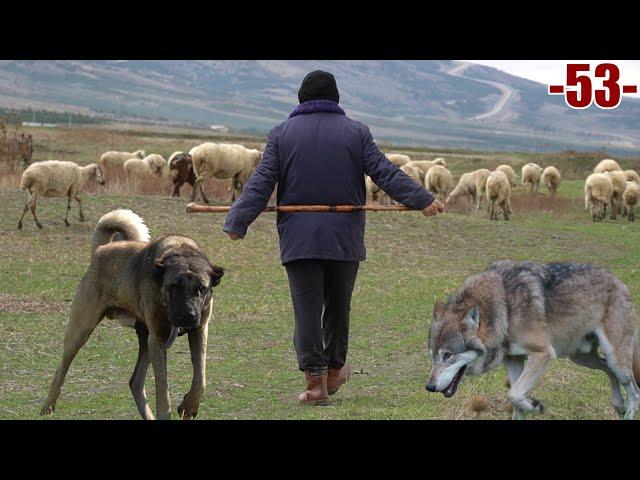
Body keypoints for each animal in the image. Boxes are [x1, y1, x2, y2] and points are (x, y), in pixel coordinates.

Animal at [40, 210, 225, 420]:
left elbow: (200, 378)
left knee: (135, 381)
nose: (187, 315)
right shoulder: (158, 340)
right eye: (173, 286)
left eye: (201, 288)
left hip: (145, 339)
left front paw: (189, 405)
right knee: (61, 370)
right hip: (80, 331)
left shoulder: (199, 331)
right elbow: (163, 392)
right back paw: (48, 406)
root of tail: (101, 249)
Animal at [424, 260, 640, 418]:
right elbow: (515, 400)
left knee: (634, 392)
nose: (429, 387)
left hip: (615, 360)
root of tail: (621, 284)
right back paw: (618, 405)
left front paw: (536, 406)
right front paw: (530, 406)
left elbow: (514, 394)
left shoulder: (542, 353)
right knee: (609, 371)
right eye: (432, 356)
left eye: (448, 355)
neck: (505, 310)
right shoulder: (514, 360)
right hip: (583, 358)